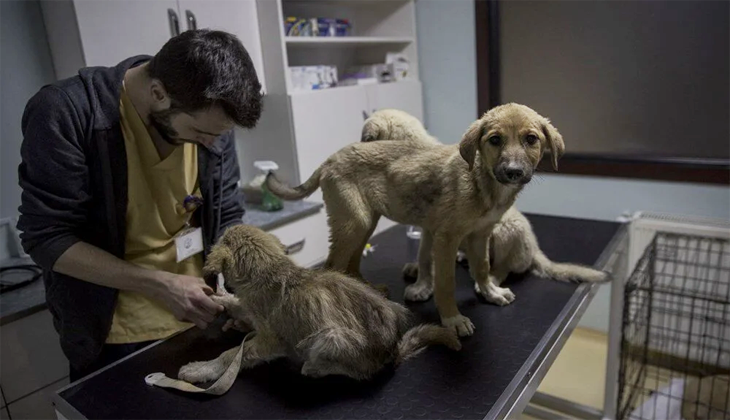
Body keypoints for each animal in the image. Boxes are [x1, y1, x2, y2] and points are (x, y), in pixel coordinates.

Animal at [176, 226, 458, 384]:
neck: (269, 271)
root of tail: (393, 351)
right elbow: (238, 307)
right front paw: (221, 299)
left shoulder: (271, 340)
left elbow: (232, 354)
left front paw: (201, 369)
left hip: (329, 337)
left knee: (356, 373)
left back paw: (315, 367)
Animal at [264, 103, 564, 336]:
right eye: (495, 140)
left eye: (531, 139)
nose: (513, 172)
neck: (481, 179)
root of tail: (328, 160)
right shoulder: (445, 238)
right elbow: (444, 281)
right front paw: (451, 319)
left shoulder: (480, 234)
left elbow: (481, 267)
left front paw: (491, 292)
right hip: (353, 222)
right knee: (332, 265)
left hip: (364, 220)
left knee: (351, 261)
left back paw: (367, 289)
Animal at [360, 108, 608, 292]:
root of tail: (535, 249)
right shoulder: (431, 228)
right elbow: (424, 254)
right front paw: (421, 275)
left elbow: (425, 255)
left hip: (507, 231)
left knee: (502, 267)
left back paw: (490, 280)